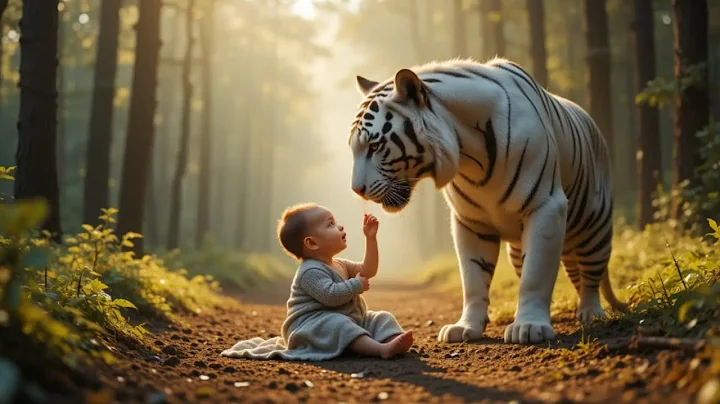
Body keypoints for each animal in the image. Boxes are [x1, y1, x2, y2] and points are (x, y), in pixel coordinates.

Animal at [347, 58, 627, 345]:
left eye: (374, 146)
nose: (357, 190)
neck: (470, 156)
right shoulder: (470, 222)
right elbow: (473, 279)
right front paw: (466, 327)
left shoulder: (546, 207)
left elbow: (535, 274)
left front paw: (529, 326)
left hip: (595, 227)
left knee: (590, 274)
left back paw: (591, 312)